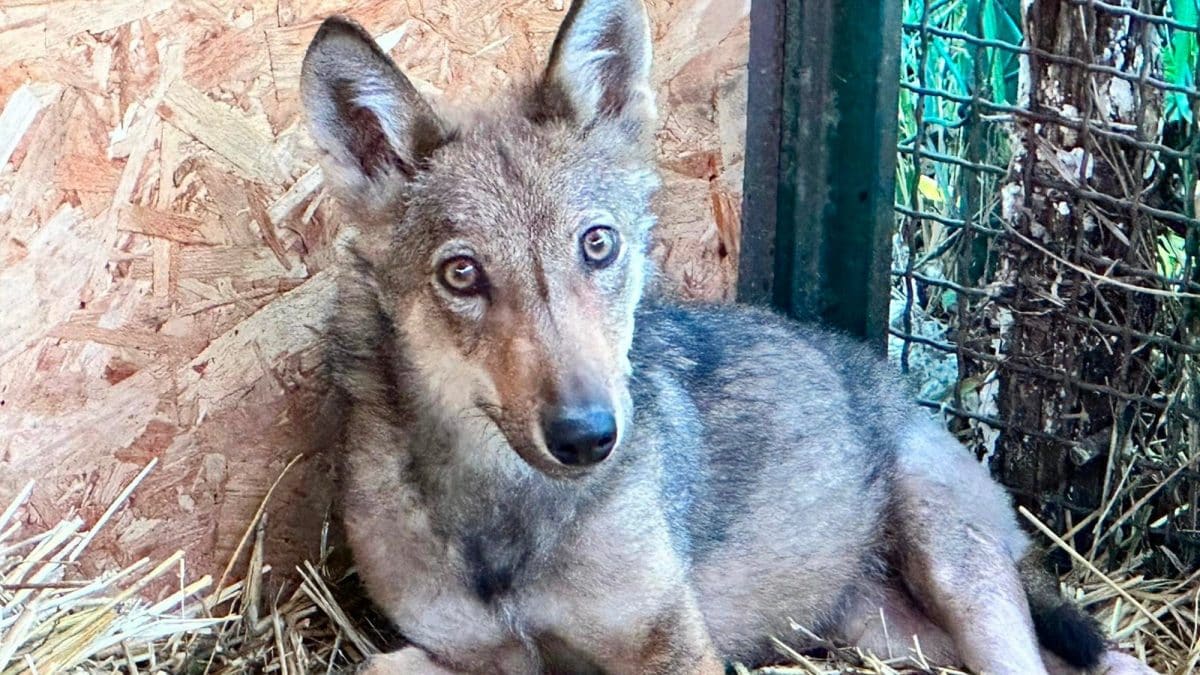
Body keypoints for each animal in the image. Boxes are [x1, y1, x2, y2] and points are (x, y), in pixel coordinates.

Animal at [298, 1, 1157, 673]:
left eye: (597, 245)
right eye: (463, 274)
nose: (588, 435)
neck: (506, 515)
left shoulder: (671, 643)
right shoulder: (465, 654)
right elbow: (381, 661)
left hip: (955, 570)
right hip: (890, 632)